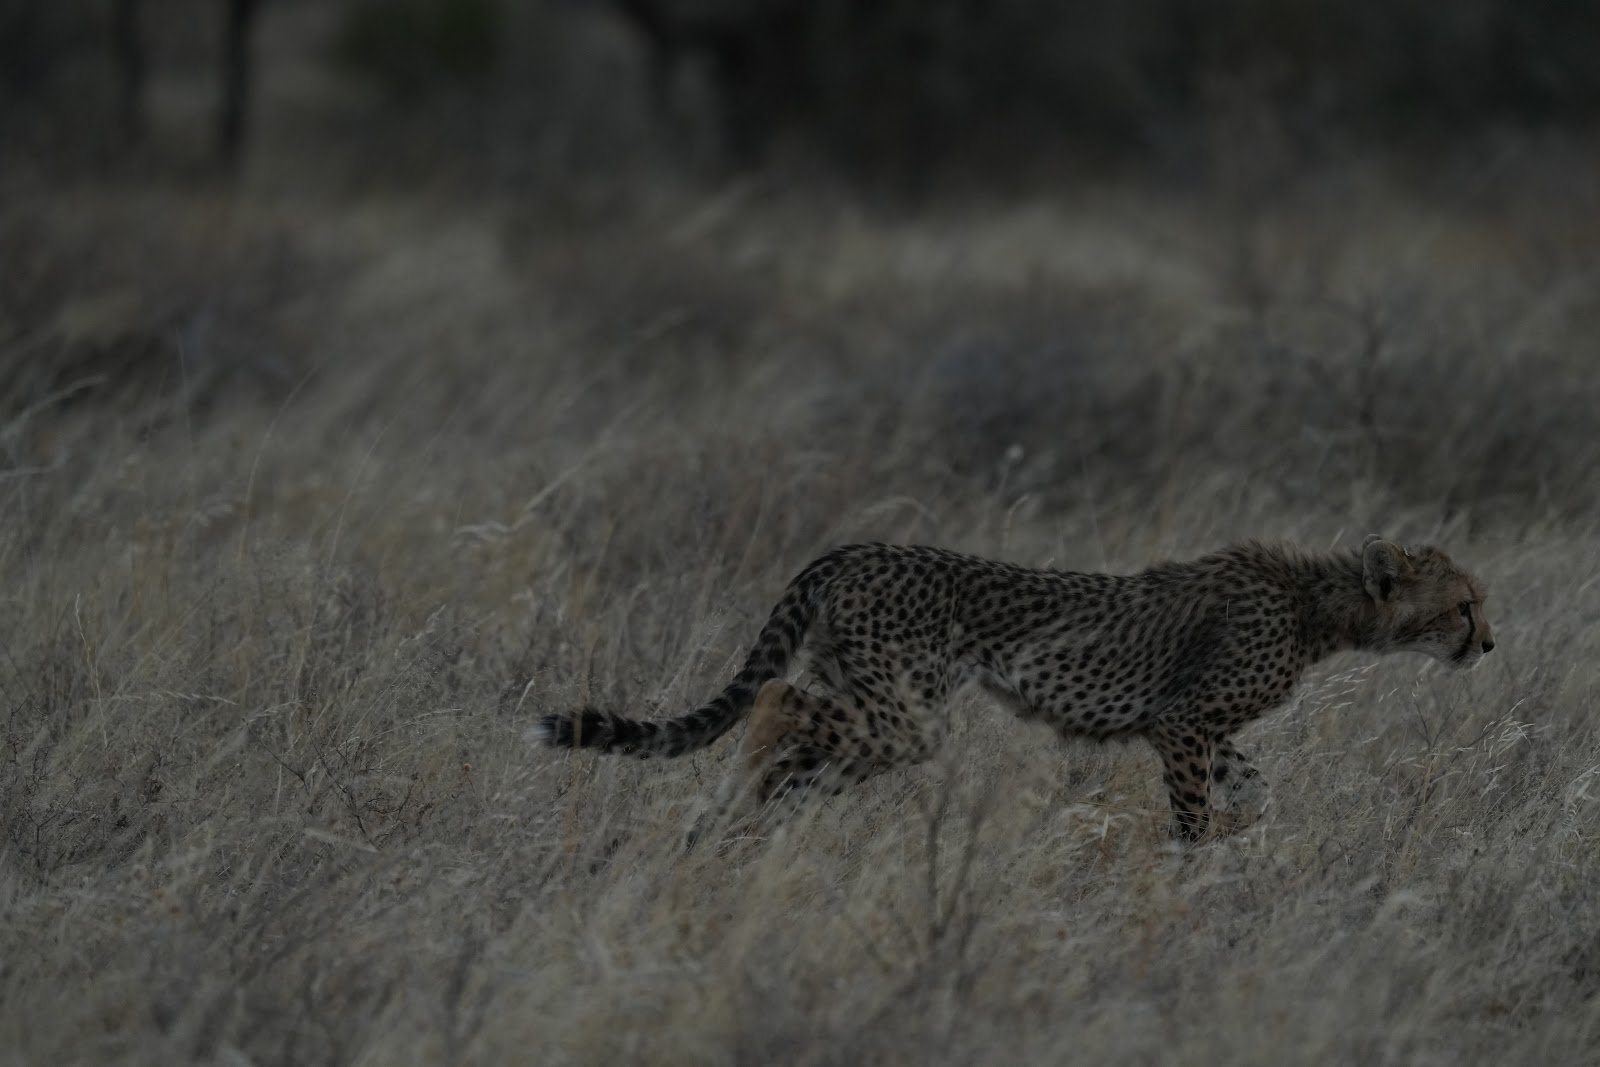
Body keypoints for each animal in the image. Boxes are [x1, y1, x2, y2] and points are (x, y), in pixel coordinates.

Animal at [533, 535, 1493, 841]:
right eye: (1464, 602)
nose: (1489, 642)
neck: (1317, 603)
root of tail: (859, 546)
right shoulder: (1183, 723)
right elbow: (1195, 807)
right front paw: (1199, 858)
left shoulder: (1203, 729)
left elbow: (1255, 782)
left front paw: (1247, 829)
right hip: (905, 710)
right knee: (777, 706)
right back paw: (730, 813)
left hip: (869, 695)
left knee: (797, 742)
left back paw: (738, 824)